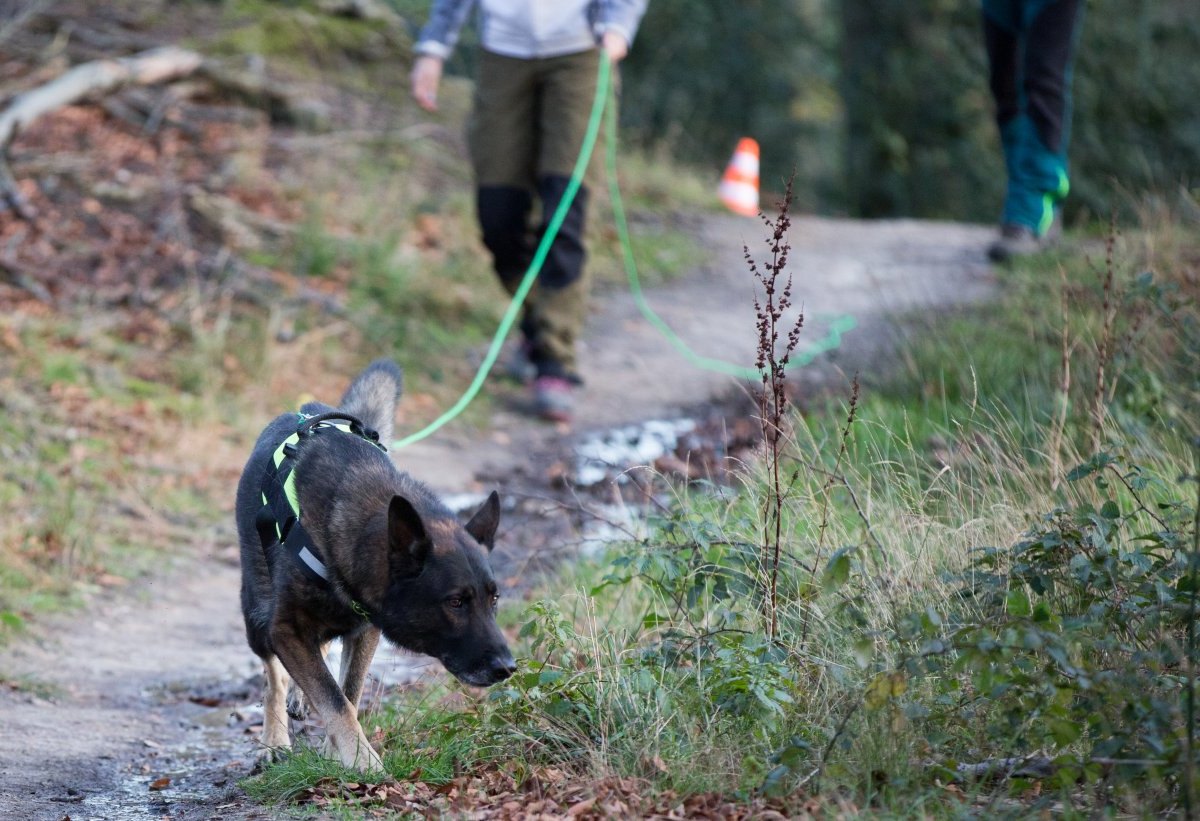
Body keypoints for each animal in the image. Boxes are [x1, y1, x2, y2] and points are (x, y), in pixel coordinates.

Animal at [235, 360, 516, 768]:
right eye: (455, 602)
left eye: (494, 599)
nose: (508, 667)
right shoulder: (285, 628)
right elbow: (332, 698)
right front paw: (363, 763)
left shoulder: (364, 631)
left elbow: (347, 693)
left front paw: (336, 753)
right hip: (257, 614)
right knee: (273, 675)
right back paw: (273, 740)